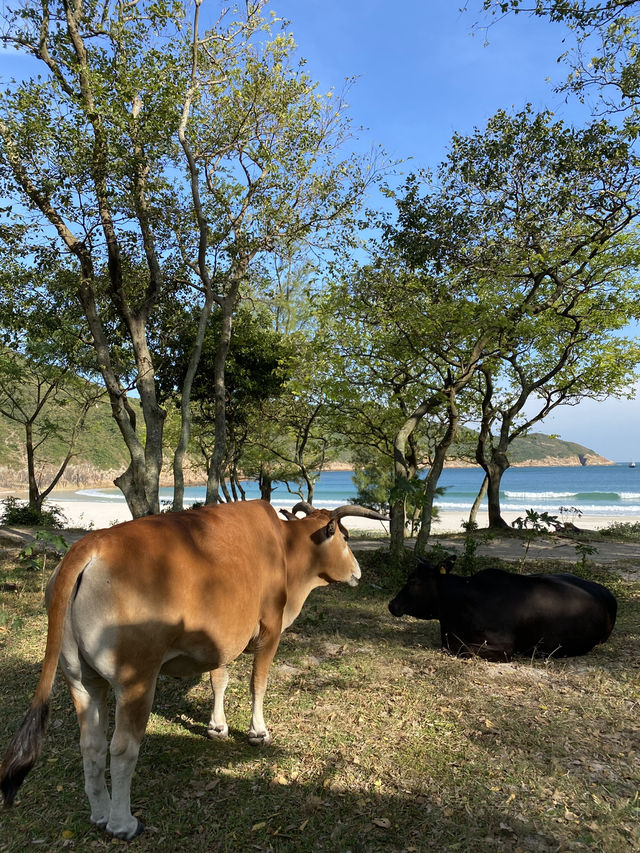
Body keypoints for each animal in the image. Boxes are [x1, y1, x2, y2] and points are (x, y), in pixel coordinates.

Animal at [0, 500, 384, 840]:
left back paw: (99, 813)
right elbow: (257, 683)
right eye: (345, 536)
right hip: (136, 679)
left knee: (91, 745)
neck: (287, 547)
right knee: (122, 748)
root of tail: (90, 543)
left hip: (80, 679)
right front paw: (258, 732)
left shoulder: (222, 636)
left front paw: (217, 726)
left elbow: (219, 678)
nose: (358, 571)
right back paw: (122, 824)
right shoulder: (271, 627)